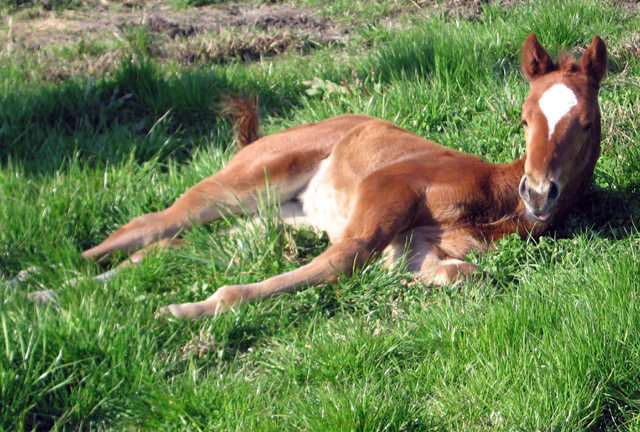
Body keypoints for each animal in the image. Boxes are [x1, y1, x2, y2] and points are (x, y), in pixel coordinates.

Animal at [14, 34, 607, 319]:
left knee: (164, 249)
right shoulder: (387, 191)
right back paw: (32, 283)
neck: (495, 199)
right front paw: (187, 309)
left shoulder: (418, 250)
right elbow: (338, 263)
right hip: (241, 185)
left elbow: (461, 273)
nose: (538, 192)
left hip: (268, 221)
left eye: (585, 122)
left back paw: (64, 294)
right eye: (524, 118)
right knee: (150, 225)